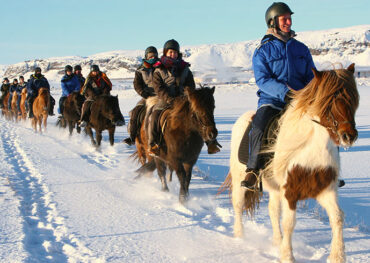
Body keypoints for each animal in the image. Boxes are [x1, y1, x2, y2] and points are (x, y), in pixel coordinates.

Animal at [224, 64, 360, 263]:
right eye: (330, 100)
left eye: (353, 99)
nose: (348, 136)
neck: (310, 149)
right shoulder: (290, 191)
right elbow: (289, 223)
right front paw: (288, 256)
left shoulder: (325, 189)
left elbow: (337, 217)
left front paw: (337, 256)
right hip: (240, 179)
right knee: (238, 205)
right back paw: (240, 237)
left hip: (274, 188)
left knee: (273, 210)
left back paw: (276, 241)